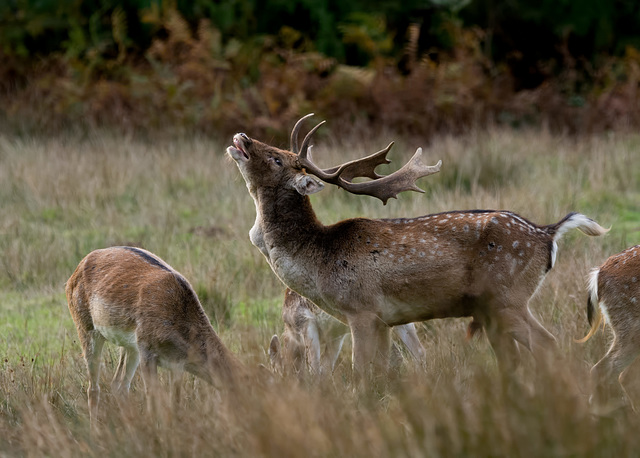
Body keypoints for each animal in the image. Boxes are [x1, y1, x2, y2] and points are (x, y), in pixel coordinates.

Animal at [66, 247, 242, 422]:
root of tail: (74, 273)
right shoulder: (147, 350)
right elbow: (152, 398)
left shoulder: (177, 364)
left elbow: (175, 402)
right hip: (86, 327)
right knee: (93, 388)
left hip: (131, 346)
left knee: (118, 385)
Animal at [270, 290, 424, 376]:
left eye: (276, 371)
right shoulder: (336, 337)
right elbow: (325, 369)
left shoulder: (306, 323)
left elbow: (315, 368)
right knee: (418, 350)